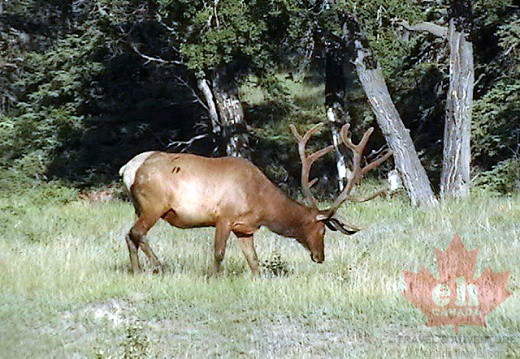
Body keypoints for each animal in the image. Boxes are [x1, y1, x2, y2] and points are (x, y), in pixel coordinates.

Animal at [120, 123, 392, 276]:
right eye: (322, 231)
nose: (319, 257)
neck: (261, 204)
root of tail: (128, 169)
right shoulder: (224, 217)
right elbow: (219, 253)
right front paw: (214, 277)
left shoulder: (245, 228)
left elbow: (254, 261)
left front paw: (256, 278)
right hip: (154, 204)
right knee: (137, 232)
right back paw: (158, 266)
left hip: (138, 207)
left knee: (129, 235)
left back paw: (136, 271)